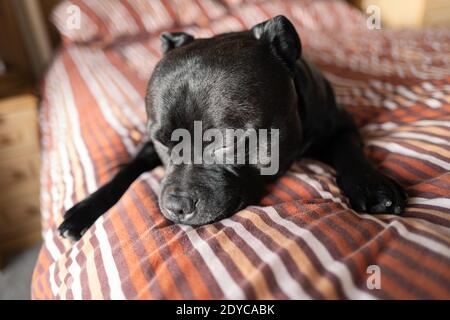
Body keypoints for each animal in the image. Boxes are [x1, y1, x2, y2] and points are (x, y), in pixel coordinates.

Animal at [58, 15, 406, 240]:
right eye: (162, 142)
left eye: (226, 143)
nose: (175, 206)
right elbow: (125, 170)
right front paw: (84, 209)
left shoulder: (340, 124)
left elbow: (349, 153)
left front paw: (373, 186)